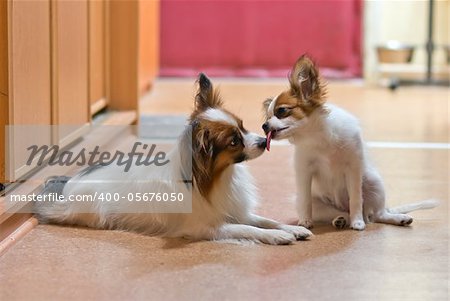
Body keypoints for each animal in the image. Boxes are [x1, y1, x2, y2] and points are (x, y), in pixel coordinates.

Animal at [35, 73, 312, 244]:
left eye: (243, 127)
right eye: (234, 142)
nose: (262, 141)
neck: (218, 177)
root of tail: (70, 185)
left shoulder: (235, 209)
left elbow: (267, 220)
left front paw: (293, 228)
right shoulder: (207, 227)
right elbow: (249, 228)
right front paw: (277, 237)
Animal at [262, 54, 438, 230]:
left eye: (282, 111)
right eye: (267, 117)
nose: (264, 126)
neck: (318, 135)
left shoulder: (353, 168)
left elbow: (356, 199)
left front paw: (357, 222)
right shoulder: (304, 171)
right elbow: (306, 201)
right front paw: (305, 222)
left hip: (374, 183)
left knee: (378, 214)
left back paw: (394, 218)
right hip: (318, 205)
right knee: (343, 213)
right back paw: (340, 220)